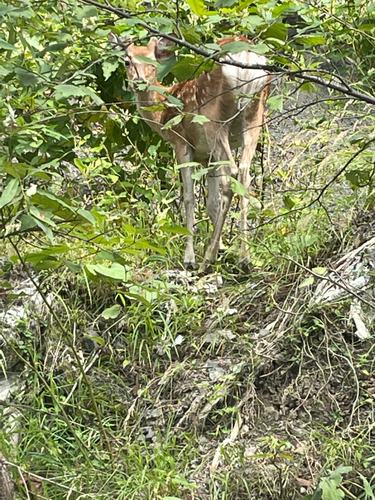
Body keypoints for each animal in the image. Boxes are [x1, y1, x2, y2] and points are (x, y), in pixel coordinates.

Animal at [108, 33, 270, 274]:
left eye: (153, 61)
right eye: (127, 61)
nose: (138, 80)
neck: (163, 113)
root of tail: (247, 55)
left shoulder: (181, 142)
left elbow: (189, 197)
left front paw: (190, 258)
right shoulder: (208, 157)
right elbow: (211, 203)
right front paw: (223, 249)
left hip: (213, 117)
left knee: (231, 175)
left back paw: (207, 261)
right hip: (254, 114)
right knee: (244, 173)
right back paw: (244, 259)